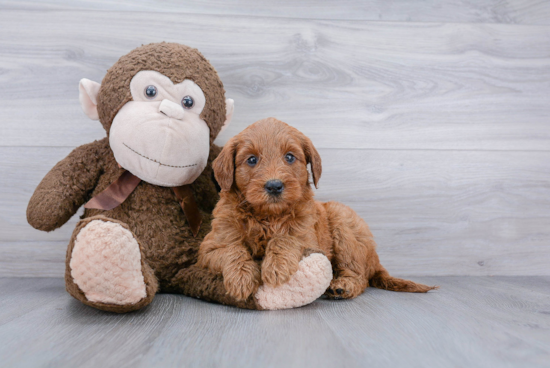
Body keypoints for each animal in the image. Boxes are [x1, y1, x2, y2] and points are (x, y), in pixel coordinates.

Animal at [196, 118, 438, 302]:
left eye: (290, 157)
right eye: (252, 160)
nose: (274, 186)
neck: (268, 216)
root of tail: (376, 260)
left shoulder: (309, 240)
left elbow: (285, 238)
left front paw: (276, 266)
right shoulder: (210, 247)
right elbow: (232, 249)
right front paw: (241, 279)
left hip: (342, 221)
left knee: (359, 275)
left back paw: (342, 286)